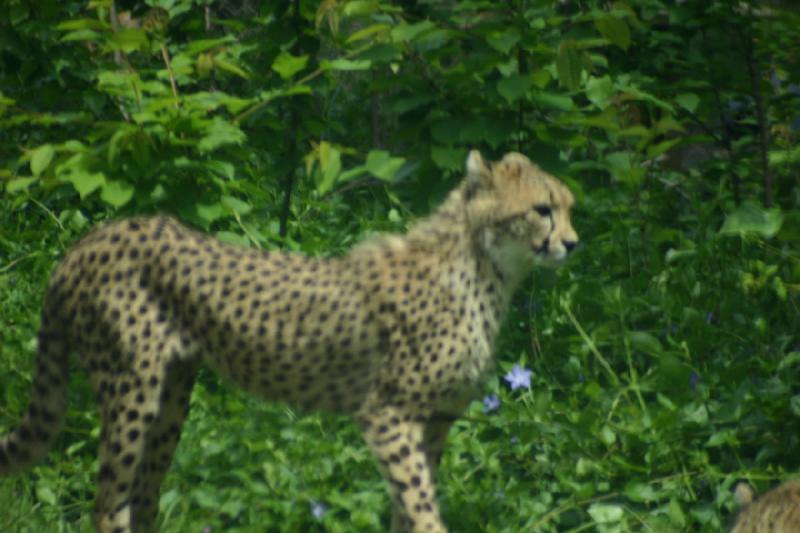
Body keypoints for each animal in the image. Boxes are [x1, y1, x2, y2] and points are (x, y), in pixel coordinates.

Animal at [0, 151, 576, 532]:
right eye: (542, 210)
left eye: (567, 207)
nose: (572, 243)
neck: (485, 266)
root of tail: (90, 238)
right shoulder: (388, 413)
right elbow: (421, 504)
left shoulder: (435, 419)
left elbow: (409, 507)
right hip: (131, 389)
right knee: (108, 501)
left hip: (171, 397)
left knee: (142, 494)